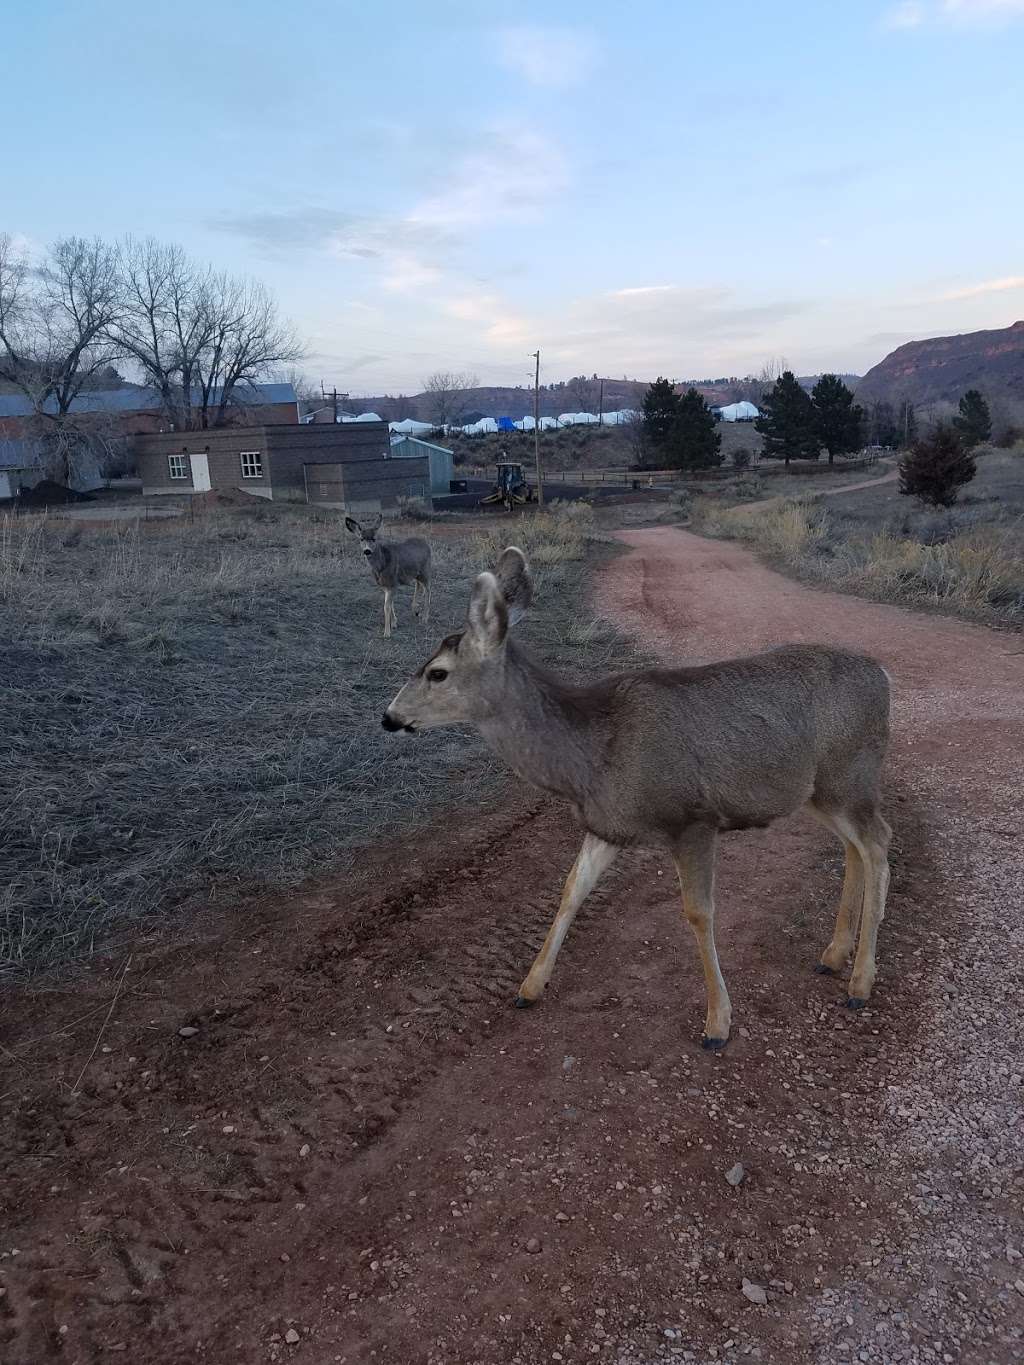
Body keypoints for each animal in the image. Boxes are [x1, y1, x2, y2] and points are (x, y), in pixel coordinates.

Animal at [382, 548, 895, 1048]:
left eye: (437, 673)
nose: (389, 717)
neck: (590, 758)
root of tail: (884, 676)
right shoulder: (607, 825)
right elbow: (572, 889)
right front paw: (529, 986)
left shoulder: (692, 819)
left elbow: (698, 912)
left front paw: (718, 1021)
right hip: (819, 792)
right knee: (855, 847)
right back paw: (833, 954)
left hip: (850, 775)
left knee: (878, 842)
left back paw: (860, 982)